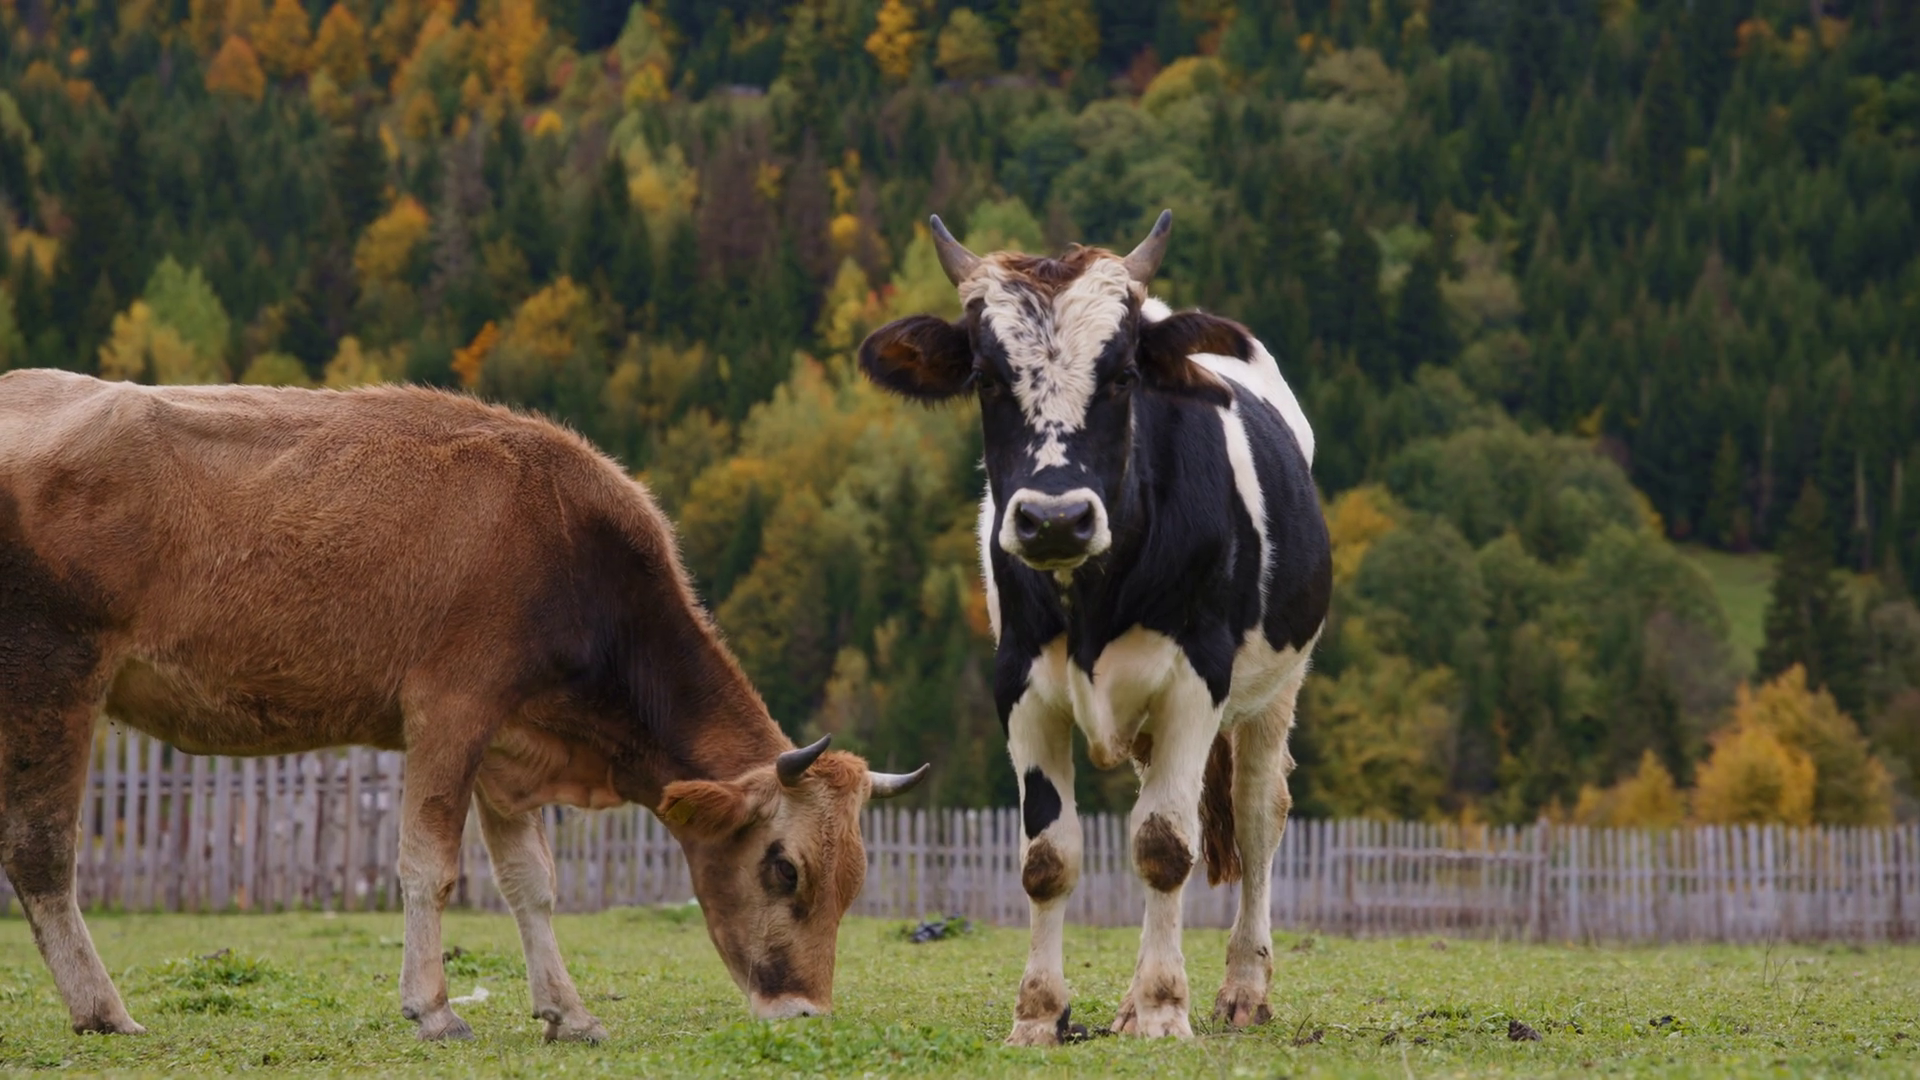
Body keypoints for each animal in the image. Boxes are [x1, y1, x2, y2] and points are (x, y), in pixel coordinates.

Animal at [0, 369, 927, 1040]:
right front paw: (433, 1007)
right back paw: (103, 1010)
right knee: (42, 853)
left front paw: (568, 1012)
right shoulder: (451, 709)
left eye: (855, 883)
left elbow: (532, 884)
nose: (804, 1013)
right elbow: (430, 866)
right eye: (783, 868)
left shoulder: (514, 749)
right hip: (55, 674)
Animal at [857, 212, 1330, 1043]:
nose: (1054, 519)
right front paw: (1041, 1014)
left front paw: (1168, 1009)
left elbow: (1165, 844)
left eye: (1122, 377)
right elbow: (1049, 857)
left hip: (1276, 687)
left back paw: (1241, 988)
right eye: (985, 378)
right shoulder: (1019, 683)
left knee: (1255, 815)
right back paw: (1129, 1003)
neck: (1095, 595)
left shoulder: (1196, 680)